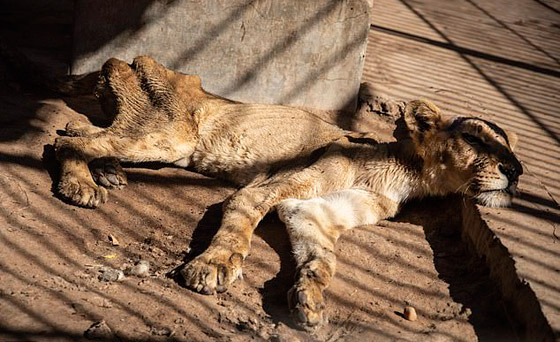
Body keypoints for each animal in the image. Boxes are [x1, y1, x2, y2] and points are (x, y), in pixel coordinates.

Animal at [54, 56, 524, 328]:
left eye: (513, 148)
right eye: (475, 139)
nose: (517, 171)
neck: (405, 176)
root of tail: (130, 58)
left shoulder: (308, 210)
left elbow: (323, 259)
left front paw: (310, 301)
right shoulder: (269, 189)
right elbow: (239, 226)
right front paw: (213, 266)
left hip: (157, 140)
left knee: (77, 129)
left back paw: (107, 171)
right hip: (169, 138)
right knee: (67, 143)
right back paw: (81, 185)